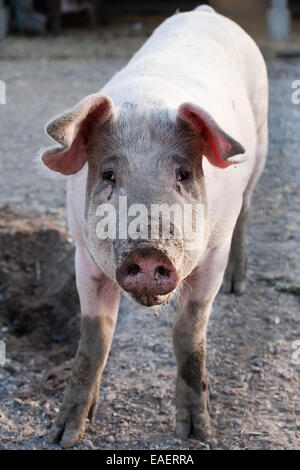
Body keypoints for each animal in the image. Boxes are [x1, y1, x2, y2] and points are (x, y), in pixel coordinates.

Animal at [39, 5, 268, 450]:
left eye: (183, 173)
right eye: (108, 174)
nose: (148, 251)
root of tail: (206, 11)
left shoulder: (212, 256)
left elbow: (189, 334)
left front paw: (197, 434)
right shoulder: (83, 256)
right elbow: (94, 341)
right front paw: (64, 435)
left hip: (260, 144)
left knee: (247, 211)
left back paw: (239, 286)